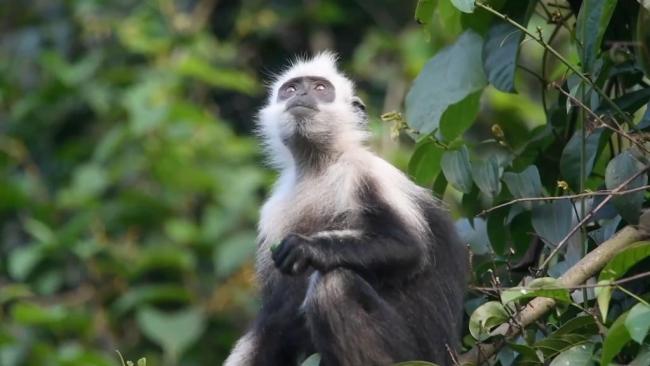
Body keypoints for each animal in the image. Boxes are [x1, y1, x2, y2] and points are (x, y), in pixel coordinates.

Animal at [223, 51, 466, 366]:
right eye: (290, 89)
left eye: (320, 88)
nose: (300, 94)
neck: (318, 168)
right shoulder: (272, 213)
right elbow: (277, 318)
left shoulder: (366, 172)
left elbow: (409, 247)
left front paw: (308, 249)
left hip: (419, 357)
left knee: (332, 286)